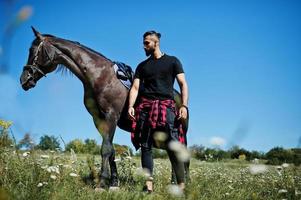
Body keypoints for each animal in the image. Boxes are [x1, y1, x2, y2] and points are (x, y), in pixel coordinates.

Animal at [18, 26, 189, 189]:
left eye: (33, 51)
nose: (24, 80)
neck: (100, 76)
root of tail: (179, 97)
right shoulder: (99, 119)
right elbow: (111, 150)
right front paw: (113, 182)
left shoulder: (111, 116)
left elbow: (105, 149)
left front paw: (101, 183)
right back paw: (174, 182)